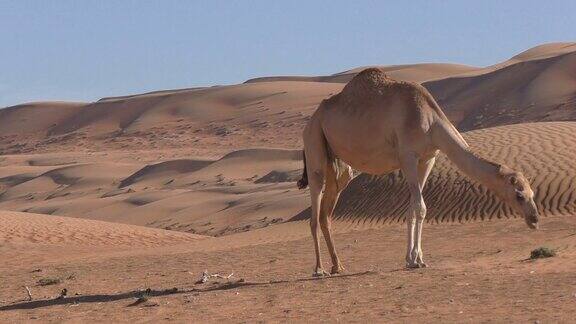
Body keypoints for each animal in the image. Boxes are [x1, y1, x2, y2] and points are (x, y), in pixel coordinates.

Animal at [300, 67, 536, 274]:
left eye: (532, 193)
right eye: (519, 195)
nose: (534, 219)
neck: (432, 122)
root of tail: (313, 117)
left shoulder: (428, 159)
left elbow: (413, 208)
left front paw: (416, 258)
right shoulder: (408, 157)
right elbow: (420, 207)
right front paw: (414, 260)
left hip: (338, 164)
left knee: (327, 212)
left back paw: (337, 266)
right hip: (314, 142)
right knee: (315, 206)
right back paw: (319, 269)